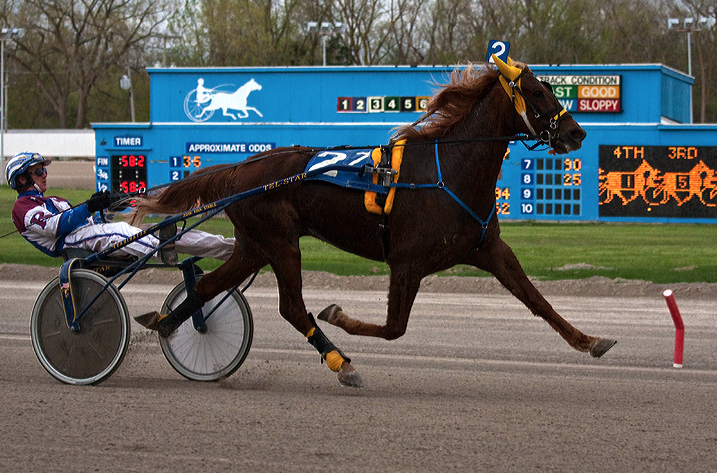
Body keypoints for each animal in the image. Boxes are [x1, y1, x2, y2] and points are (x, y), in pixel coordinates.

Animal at [133, 57, 616, 386]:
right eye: (535, 92)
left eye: (550, 87)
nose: (576, 133)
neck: (449, 169)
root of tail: (239, 168)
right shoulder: (407, 261)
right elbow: (393, 328)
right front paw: (337, 313)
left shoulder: (488, 248)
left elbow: (537, 300)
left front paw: (591, 341)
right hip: (280, 243)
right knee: (291, 307)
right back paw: (341, 362)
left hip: (255, 245)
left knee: (209, 288)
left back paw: (167, 324)